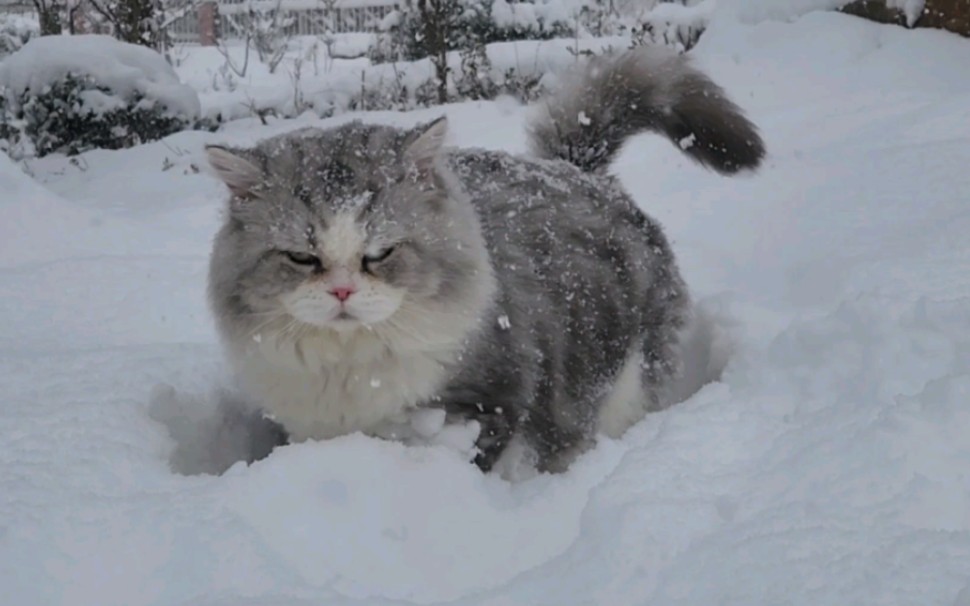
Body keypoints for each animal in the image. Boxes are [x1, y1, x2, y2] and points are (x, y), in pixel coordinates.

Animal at [204, 46, 764, 476]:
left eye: (381, 252)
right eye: (301, 257)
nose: (342, 291)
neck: (350, 370)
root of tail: (574, 169)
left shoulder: (485, 402)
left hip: (623, 382)